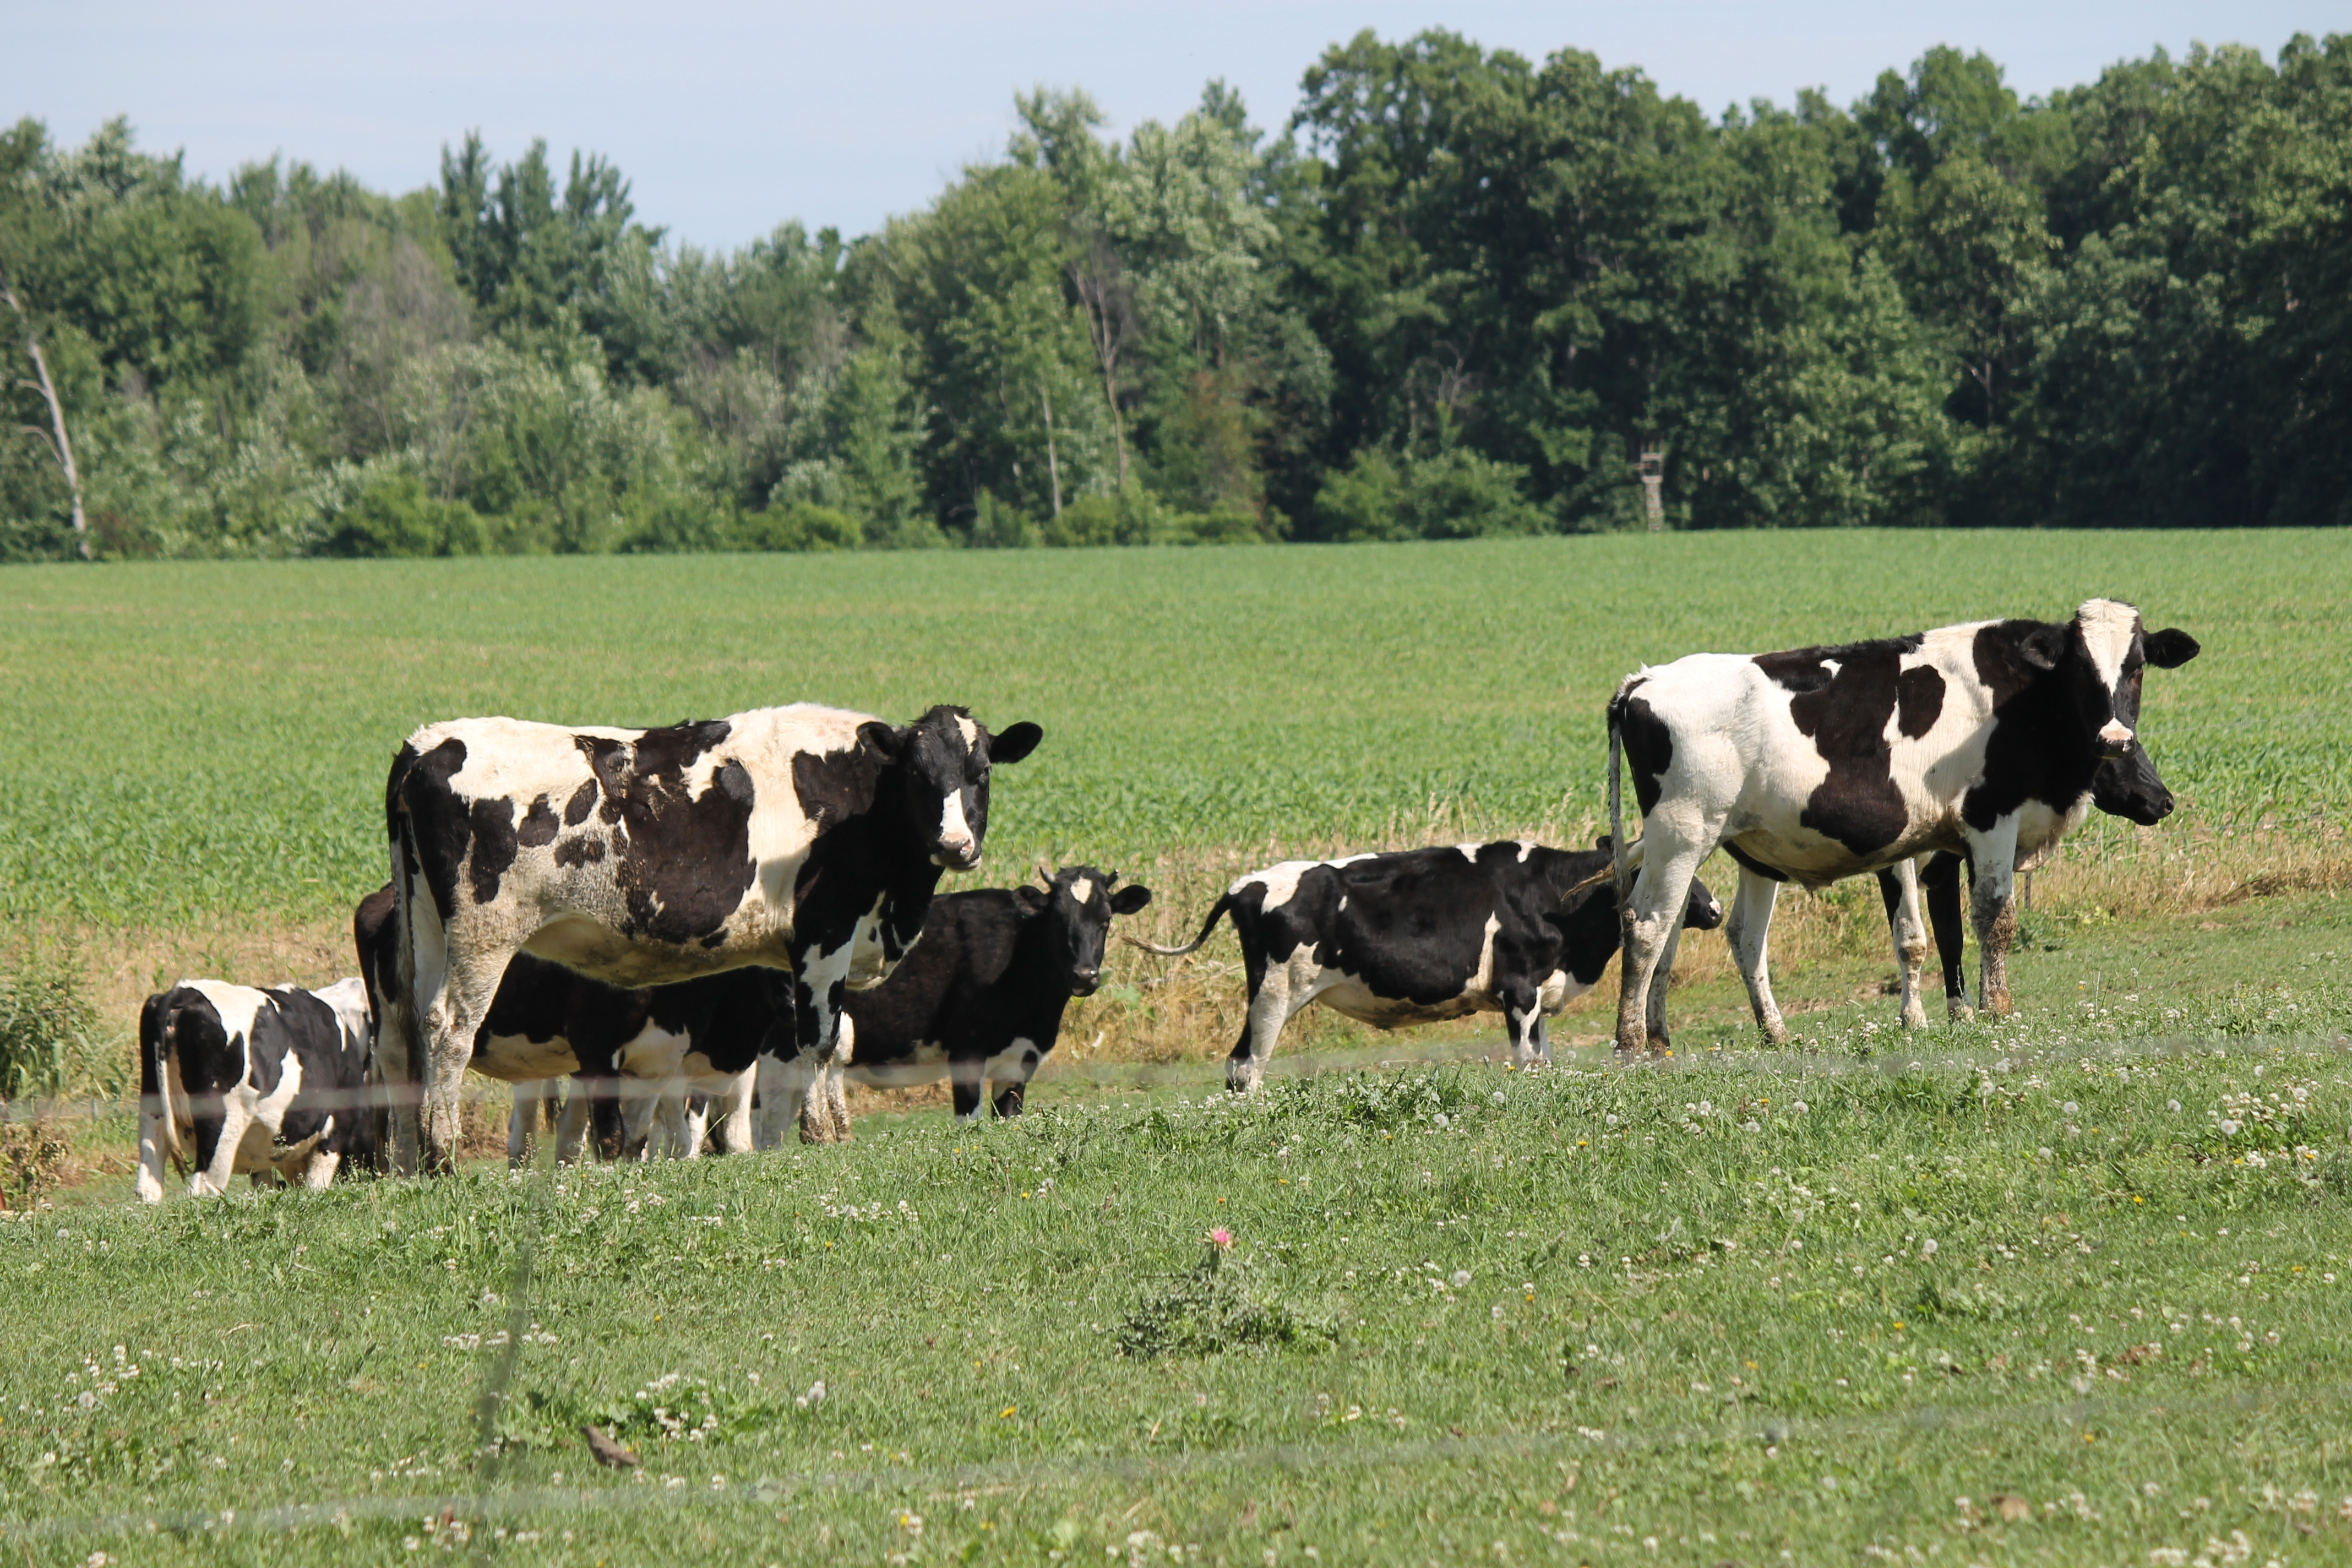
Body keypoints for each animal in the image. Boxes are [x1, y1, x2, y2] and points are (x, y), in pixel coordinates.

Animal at [136, 978, 374, 1202]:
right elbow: (317, 1184)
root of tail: (183, 991)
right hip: (223, 1121)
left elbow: (264, 1185)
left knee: (148, 1186)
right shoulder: (336, 1127)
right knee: (205, 1187)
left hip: (153, 1108)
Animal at [379, 703, 1040, 1172]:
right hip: (483, 937)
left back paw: (415, 1161)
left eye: (980, 773)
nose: (955, 845)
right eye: (919, 777)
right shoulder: (825, 931)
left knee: (411, 1035)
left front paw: (832, 1131)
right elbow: (820, 1042)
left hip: (425, 927)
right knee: (452, 1032)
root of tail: (428, 741)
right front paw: (821, 1136)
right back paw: (445, 1156)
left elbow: (824, 1044)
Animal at [1126, 841, 1723, 1092]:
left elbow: (1543, 1059)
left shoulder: (1539, 991)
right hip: (1274, 989)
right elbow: (1526, 1061)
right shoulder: (1519, 990)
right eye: (1674, 872)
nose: (1716, 908)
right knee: (1247, 1064)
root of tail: (1245, 883)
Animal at [1605, 599, 2198, 1054]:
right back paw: (1631, 1043)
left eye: (2137, 667)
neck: (2027, 703)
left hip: (1727, 846)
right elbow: (1995, 918)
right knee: (1646, 925)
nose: (2116, 737)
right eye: (2081, 668)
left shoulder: (1938, 843)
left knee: (1729, 936)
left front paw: (1953, 1013)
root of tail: (1644, 679)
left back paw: (1723, 1036)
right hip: (1681, 833)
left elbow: (1940, 929)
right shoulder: (1991, 818)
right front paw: (1997, 1008)